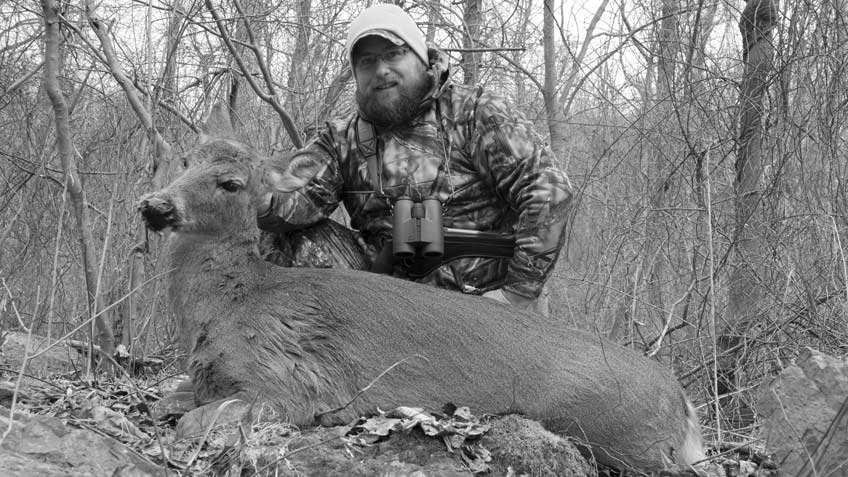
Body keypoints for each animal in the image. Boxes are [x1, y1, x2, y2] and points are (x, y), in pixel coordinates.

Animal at [139, 109, 704, 472]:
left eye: (232, 183)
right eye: (185, 160)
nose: (155, 206)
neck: (230, 305)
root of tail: (682, 400)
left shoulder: (289, 387)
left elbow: (190, 424)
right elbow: (170, 399)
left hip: (618, 435)